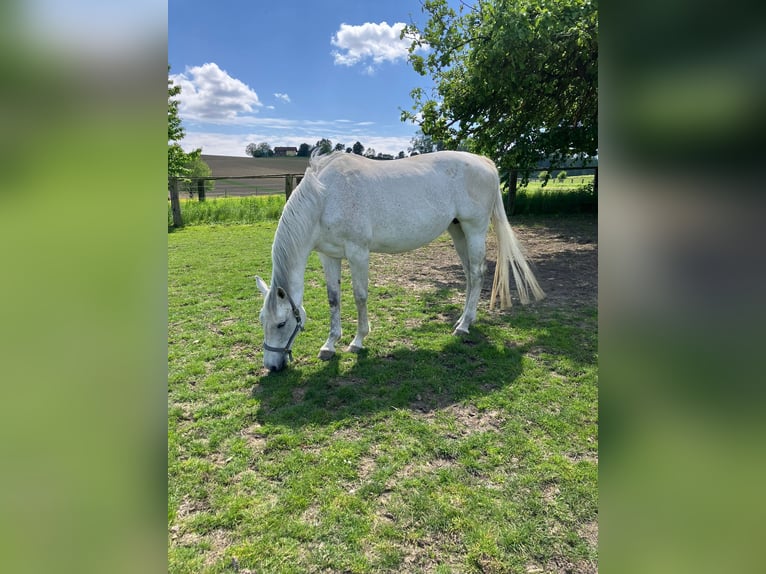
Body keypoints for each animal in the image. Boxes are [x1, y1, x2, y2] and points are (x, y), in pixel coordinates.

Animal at [255, 150, 544, 372]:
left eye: (281, 323)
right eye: (261, 320)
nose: (271, 366)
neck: (325, 197)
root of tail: (485, 162)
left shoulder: (358, 253)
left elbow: (360, 296)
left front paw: (357, 341)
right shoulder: (329, 255)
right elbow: (333, 299)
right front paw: (329, 345)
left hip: (474, 230)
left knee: (477, 273)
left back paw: (463, 326)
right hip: (458, 231)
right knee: (469, 276)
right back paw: (464, 320)